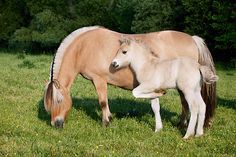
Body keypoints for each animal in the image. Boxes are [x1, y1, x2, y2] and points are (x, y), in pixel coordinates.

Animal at [43, 26, 217, 129]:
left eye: (58, 100)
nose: (55, 124)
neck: (85, 47)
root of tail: (192, 39)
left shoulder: (99, 80)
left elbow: (102, 102)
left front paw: (106, 122)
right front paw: (109, 119)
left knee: (186, 103)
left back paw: (182, 125)